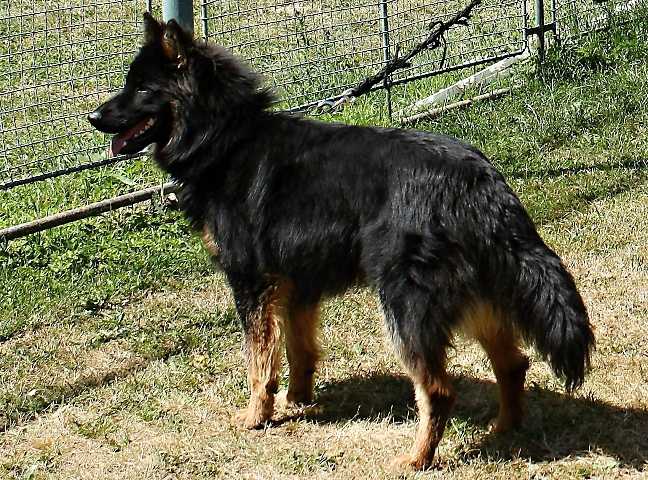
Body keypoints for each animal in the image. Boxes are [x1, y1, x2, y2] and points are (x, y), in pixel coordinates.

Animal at [88, 13, 595, 470]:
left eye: (142, 89)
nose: (93, 117)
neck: (224, 138)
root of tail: (478, 180)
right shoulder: (295, 286)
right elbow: (299, 350)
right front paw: (297, 402)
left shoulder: (253, 285)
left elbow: (259, 360)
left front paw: (256, 416)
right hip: (477, 296)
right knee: (513, 365)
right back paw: (504, 428)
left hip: (406, 306)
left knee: (438, 390)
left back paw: (418, 458)